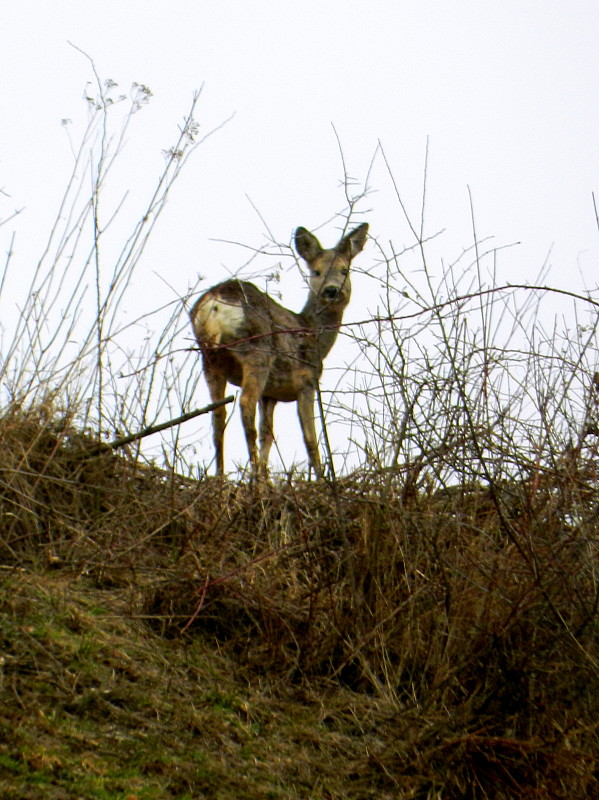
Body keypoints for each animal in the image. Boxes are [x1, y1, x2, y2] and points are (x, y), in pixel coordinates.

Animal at [191, 222, 370, 478]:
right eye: (316, 272)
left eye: (344, 270)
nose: (332, 290)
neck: (315, 334)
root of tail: (215, 302)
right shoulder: (306, 381)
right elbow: (310, 439)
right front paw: (321, 479)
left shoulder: (271, 394)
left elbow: (268, 434)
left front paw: (265, 478)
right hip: (257, 350)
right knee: (245, 403)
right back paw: (251, 476)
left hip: (210, 357)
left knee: (218, 416)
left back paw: (221, 478)